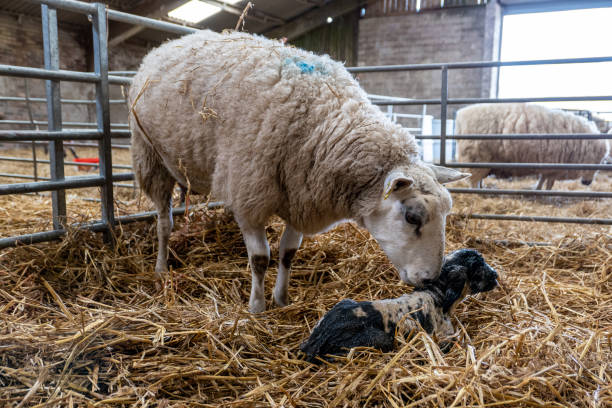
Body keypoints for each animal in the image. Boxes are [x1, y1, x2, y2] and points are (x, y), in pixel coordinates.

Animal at [300, 249, 498, 364]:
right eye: (478, 266)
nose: (496, 275)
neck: (436, 295)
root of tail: (316, 339)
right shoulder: (444, 339)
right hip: (378, 339)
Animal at [454, 103, 608, 190]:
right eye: (598, 160)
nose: (587, 182)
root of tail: (461, 116)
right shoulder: (554, 166)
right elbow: (549, 183)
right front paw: (545, 191)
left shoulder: (549, 166)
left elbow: (543, 179)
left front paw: (538, 189)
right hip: (476, 155)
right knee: (474, 179)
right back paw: (477, 192)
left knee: (477, 177)